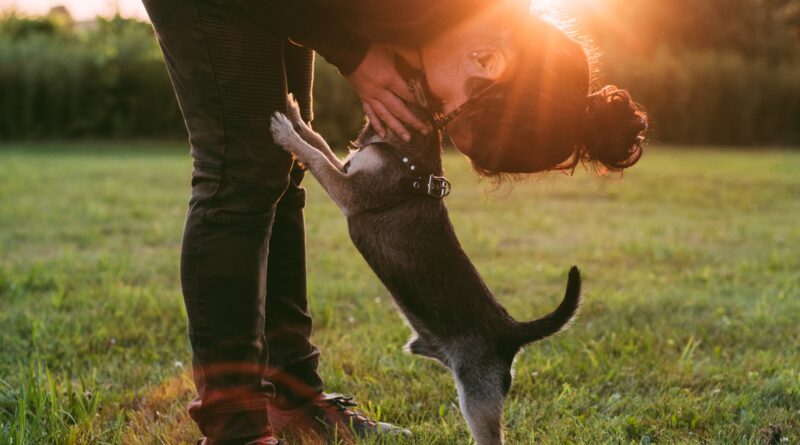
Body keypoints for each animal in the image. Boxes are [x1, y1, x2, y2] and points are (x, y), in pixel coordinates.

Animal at [270, 97, 580, 444]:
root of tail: (511, 330)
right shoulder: (345, 168)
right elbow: (318, 142)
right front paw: (296, 117)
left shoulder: (349, 191)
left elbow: (316, 157)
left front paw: (286, 133)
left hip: (478, 397)